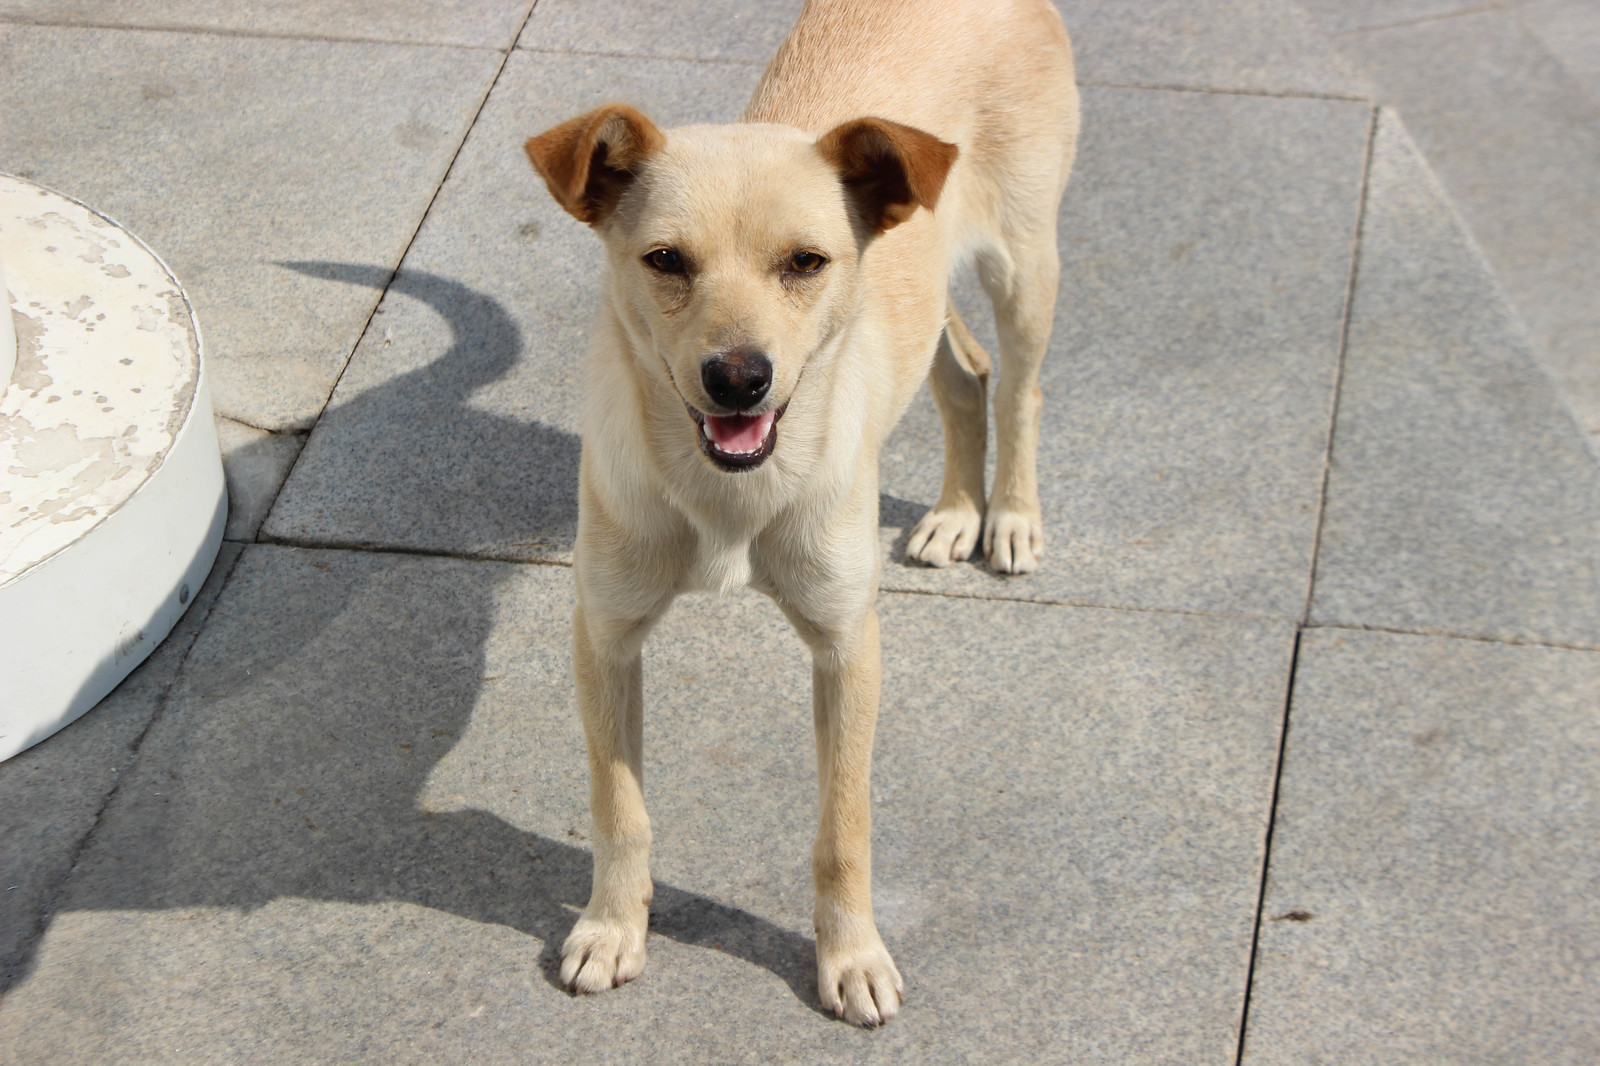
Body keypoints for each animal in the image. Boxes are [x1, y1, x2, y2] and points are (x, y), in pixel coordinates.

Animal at [524, 0, 1075, 1024]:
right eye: (666, 261)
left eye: (806, 261)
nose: (739, 378)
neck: (726, 494)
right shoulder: (604, 634)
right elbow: (620, 808)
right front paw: (613, 926)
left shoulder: (846, 645)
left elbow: (843, 829)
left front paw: (851, 957)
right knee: (964, 373)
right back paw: (954, 512)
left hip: (1025, 261)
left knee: (1017, 383)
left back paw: (1010, 515)